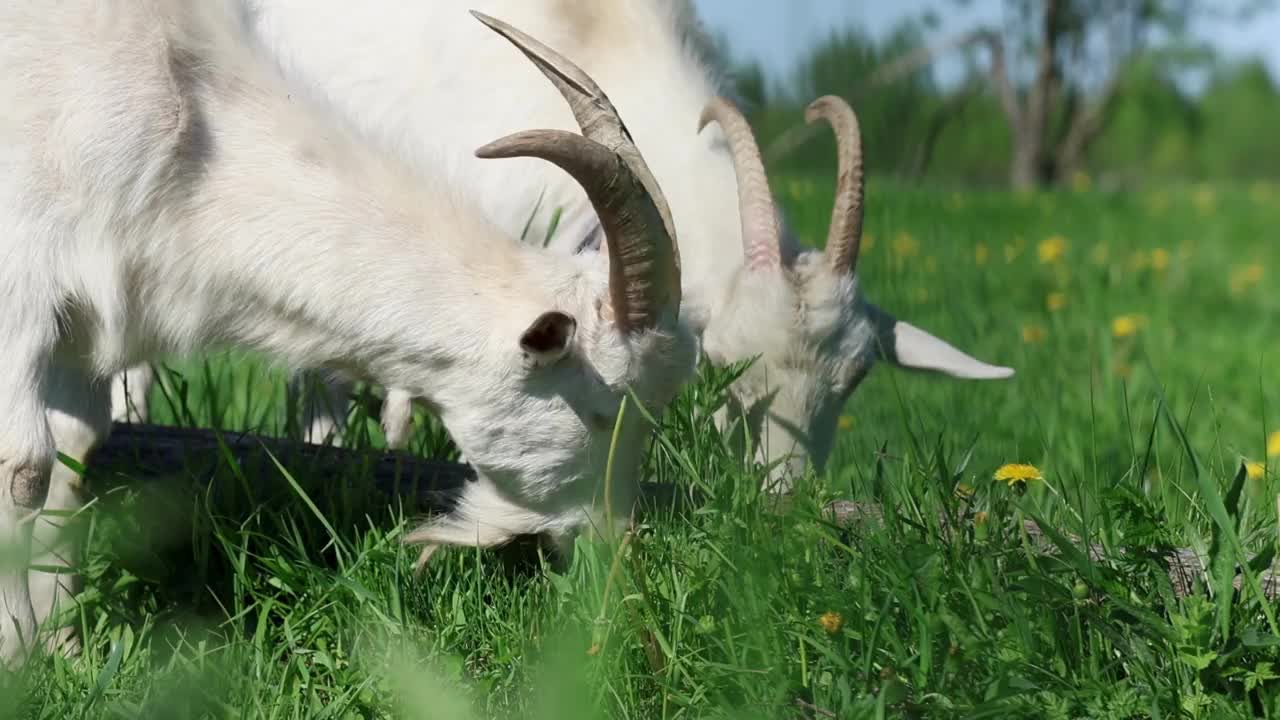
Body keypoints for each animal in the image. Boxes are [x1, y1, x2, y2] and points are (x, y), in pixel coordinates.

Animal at [0, 1, 691, 661]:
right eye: (604, 411)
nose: (614, 542)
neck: (188, 133)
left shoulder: (85, 322)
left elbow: (75, 454)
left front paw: (64, 649)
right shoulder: (20, 287)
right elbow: (24, 467)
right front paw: (18, 659)